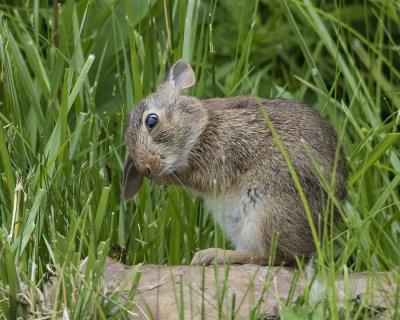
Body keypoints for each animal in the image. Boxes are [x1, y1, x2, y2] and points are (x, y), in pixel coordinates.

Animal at [122, 59, 346, 264]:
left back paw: (213, 255)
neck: (200, 128)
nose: (145, 168)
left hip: (265, 212)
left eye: (151, 121)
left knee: (271, 256)